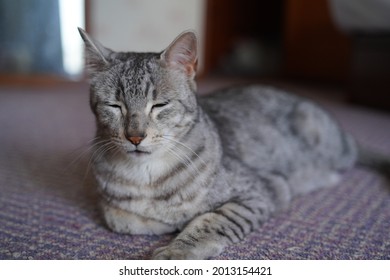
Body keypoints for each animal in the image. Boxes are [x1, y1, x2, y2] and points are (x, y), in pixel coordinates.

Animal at [77, 27, 388, 260]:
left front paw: (176, 250)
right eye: (114, 106)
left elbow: (211, 221)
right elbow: (123, 220)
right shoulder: (113, 210)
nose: (135, 136)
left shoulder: (262, 191)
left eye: (159, 105)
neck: (148, 178)